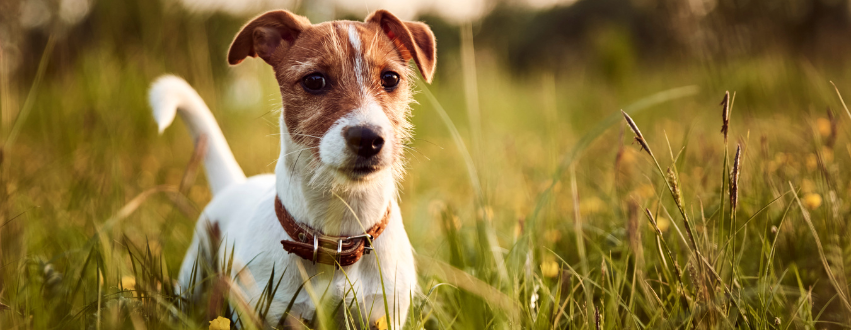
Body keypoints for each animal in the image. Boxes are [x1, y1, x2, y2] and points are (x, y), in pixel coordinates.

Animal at [146, 8, 436, 330]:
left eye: (390, 78)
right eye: (314, 81)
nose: (367, 138)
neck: (338, 238)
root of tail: (236, 183)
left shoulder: (385, 314)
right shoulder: (266, 314)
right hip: (192, 279)